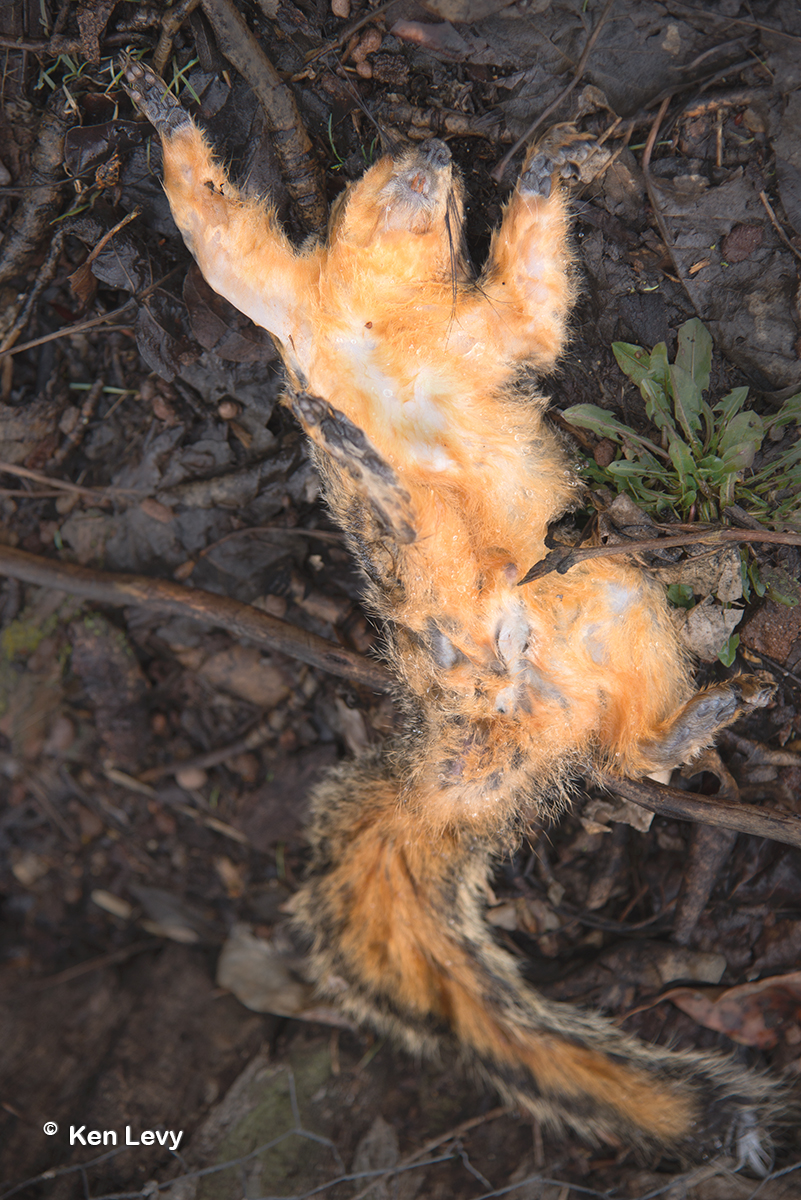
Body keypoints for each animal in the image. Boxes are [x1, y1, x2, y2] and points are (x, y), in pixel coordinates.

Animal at [124, 60, 787, 1163]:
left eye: (447, 203)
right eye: (385, 164)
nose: (435, 149)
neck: (383, 316)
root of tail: (482, 730)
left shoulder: (491, 330)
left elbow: (529, 301)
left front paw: (552, 171)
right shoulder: (281, 303)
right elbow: (216, 239)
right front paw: (161, 107)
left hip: (604, 597)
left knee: (625, 755)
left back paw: (698, 715)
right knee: (620, 762)